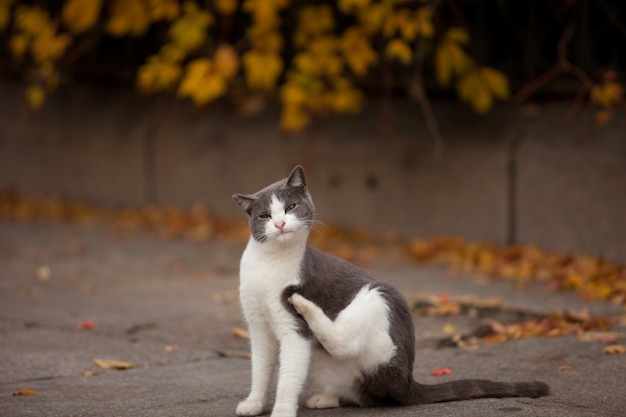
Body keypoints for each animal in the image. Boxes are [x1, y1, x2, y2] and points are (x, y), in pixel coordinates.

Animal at [232, 166, 548, 416]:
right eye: (264, 215)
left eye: (291, 208)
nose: (280, 223)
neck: (270, 264)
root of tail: (408, 381)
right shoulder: (258, 326)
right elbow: (261, 368)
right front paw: (254, 404)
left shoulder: (293, 330)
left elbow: (288, 375)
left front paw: (282, 411)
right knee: (363, 393)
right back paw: (325, 398)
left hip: (380, 300)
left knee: (345, 343)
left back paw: (304, 304)